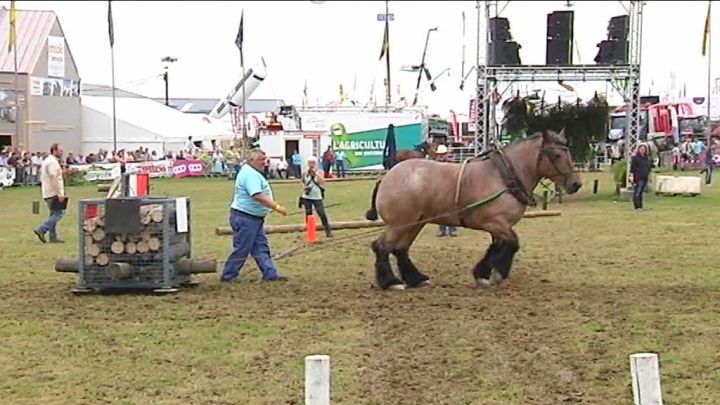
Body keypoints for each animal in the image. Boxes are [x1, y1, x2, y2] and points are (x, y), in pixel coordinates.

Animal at [364, 129, 583, 290]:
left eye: (569, 152)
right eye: (556, 154)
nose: (575, 184)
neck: (504, 176)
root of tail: (388, 176)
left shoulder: (499, 226)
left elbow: (497, 247)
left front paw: (483, 274)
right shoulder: (495, 222)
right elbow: (513, 243)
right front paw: (498, 274)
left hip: (415, 223)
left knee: (400, 249)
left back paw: (416, 278)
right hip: (400, 224)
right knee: (381, 246)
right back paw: (390, 282)